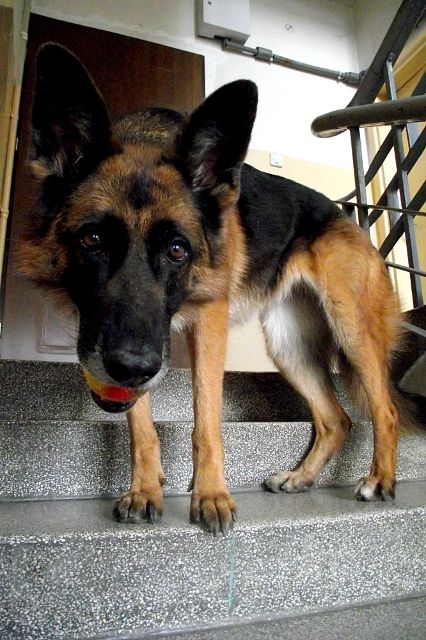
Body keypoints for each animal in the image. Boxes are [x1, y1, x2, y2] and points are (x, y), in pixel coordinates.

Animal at [21, 43, 402, 534]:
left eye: (178, 249)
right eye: (92, 239)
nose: (131, 367)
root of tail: (343, 213)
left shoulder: (205, 324)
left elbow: (206, 419)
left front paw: (211, 496)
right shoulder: (138, 341)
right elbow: (141, 424)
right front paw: (145, 489)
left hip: (351, 329)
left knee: (385, 411)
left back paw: (379, 480)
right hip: (289, 347)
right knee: (337, 420)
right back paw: (301, 478)